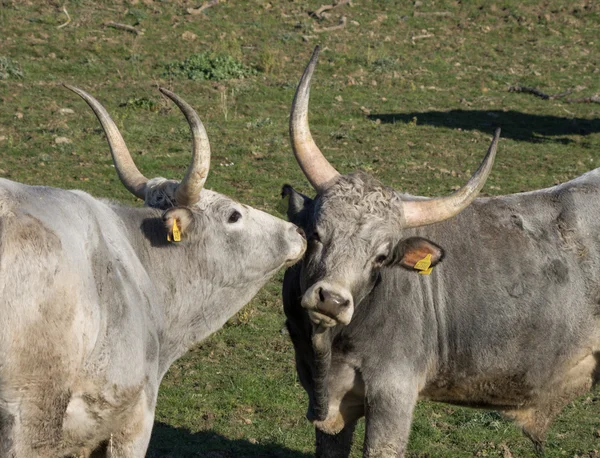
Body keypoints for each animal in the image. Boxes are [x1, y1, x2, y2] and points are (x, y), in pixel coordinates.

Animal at [282, 46, 600, 458]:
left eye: (381, 257)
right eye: (317, 234)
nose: (331, 301)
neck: (327, 352)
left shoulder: (393, 394)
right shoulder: (333, 408)